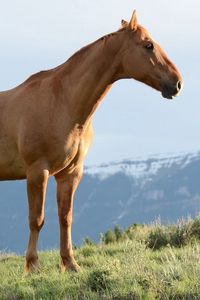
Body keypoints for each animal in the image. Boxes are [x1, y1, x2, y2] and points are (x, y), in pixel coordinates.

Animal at [0, 10, 182, 274]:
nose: (177, 83)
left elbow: (65, 218)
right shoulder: (37, 172)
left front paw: (70, 264)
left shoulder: (70, 173)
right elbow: (37, 219)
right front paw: (32, 266)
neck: (61, 102)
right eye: (148, 45)